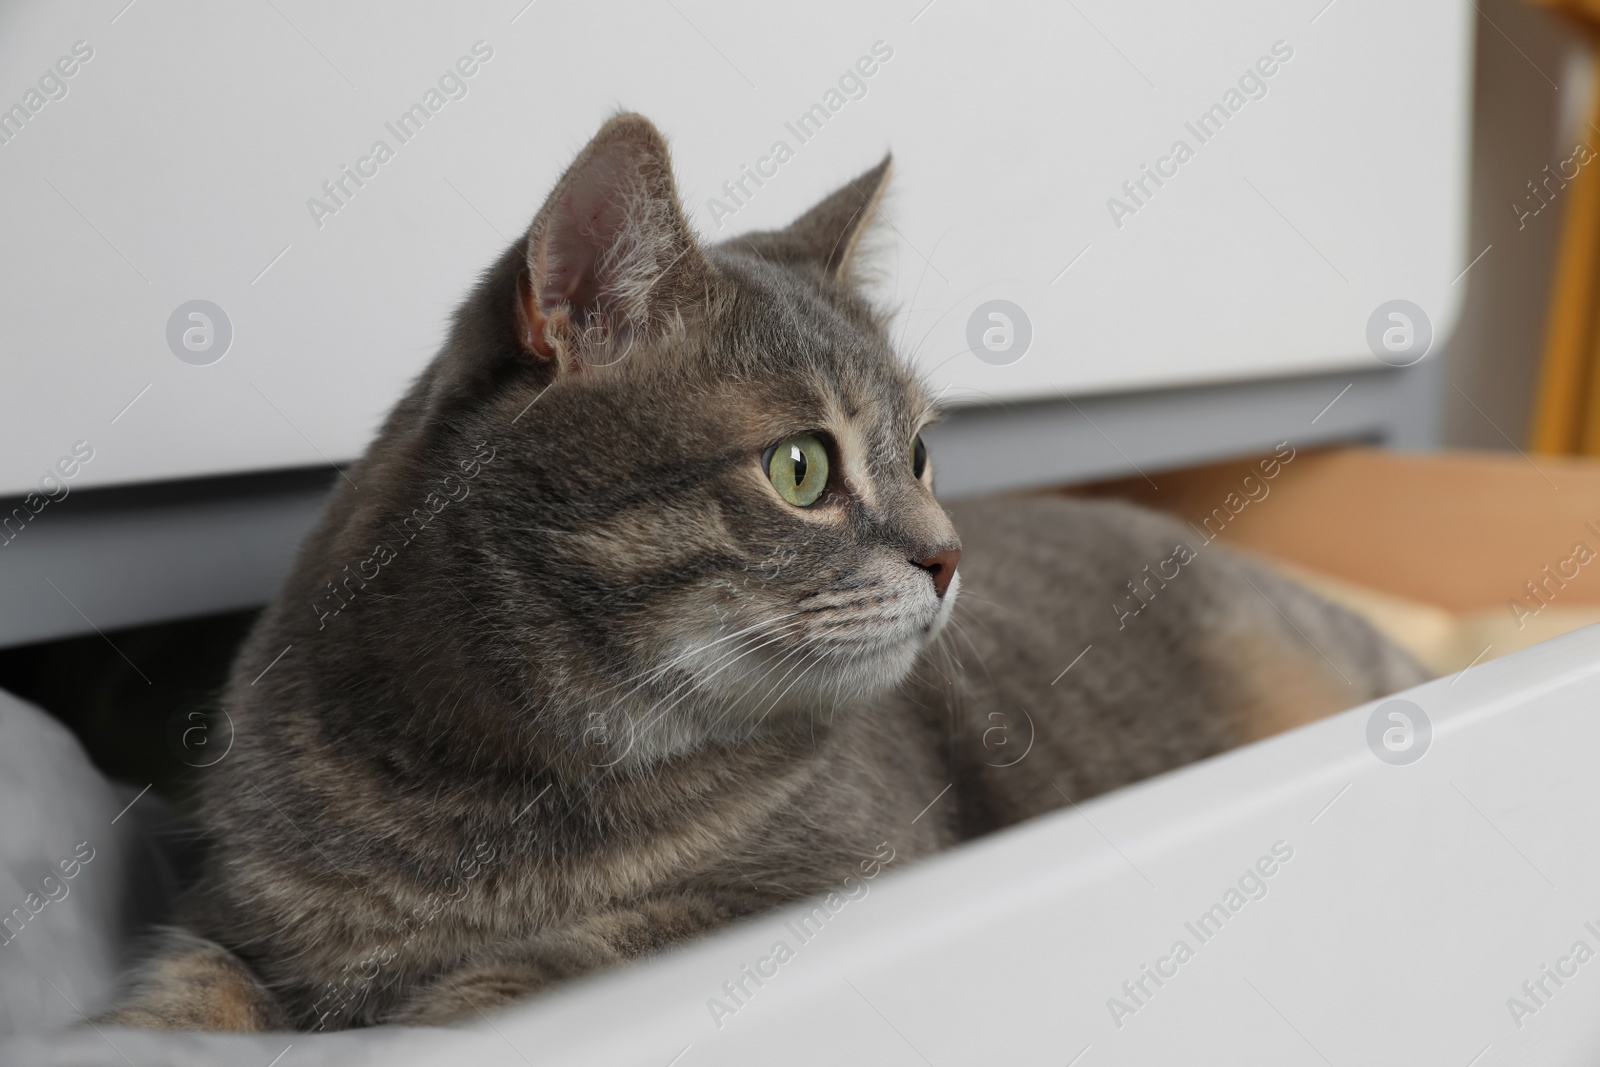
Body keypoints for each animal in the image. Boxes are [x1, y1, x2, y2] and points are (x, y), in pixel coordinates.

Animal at [100, 112, 1427, 1030]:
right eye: (801, 466)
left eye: (920, 451)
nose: (948, 552)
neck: (482, 791)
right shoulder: (227, 918)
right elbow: (175, 998)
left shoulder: (827, 878)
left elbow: (544, 969)